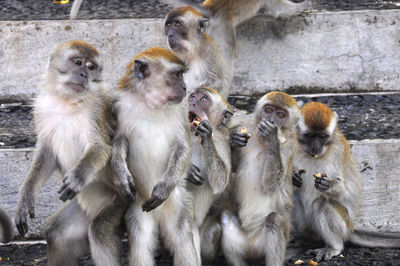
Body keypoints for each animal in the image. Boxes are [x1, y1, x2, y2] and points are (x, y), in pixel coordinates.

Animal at [14, 40, 125, 264]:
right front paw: (25, 197)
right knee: (56, 234)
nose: (83, 74)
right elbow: (47, 155)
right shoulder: (42, 108)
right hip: (82, 207)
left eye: (91, 67)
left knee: (99, 230)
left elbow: (101, 147)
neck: (68, 101)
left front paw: (78, 176)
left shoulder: (97, 109)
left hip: (117, 202)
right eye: (78, 62)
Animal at [110, 46, 199, 264]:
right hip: (138, 208)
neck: (152, 103)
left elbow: (183, 147)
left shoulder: (181, 109)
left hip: (178, 205)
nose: (185, 87)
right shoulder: (118, 104)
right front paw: (120, 175)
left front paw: (163, 188)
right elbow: (119, 140)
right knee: (140, 244)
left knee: (182, 240)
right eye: (176, 74)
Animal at [187, 86, 233, 260]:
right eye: (193, 97)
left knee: (212, 231)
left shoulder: (223, 143)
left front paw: (206, 136)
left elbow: (220, 181)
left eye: (203, 99)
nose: (192, 102)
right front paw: (188, 171)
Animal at [219, 91, 300, 266]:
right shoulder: (243, 125)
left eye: (281, 114)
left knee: (274, 221)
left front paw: (271, 137)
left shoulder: (290, 147)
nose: (271, 121)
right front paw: (234, 140)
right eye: (268, 110)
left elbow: (270, 185)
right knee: (226, 218)